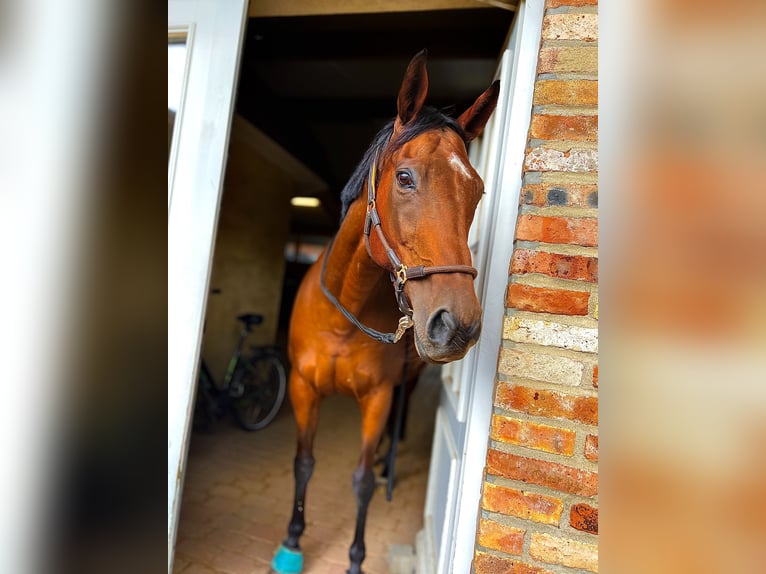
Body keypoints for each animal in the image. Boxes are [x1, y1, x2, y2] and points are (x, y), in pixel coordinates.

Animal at [272, 50, 500, 574]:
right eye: (405, 177)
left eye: (477, 190)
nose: (458, 325)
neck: (343, 318)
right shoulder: (302, 389)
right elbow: (303, 462)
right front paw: (291, 542)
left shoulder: (376, 399)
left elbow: (359, 482)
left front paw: (356, 559)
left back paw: (386, 464)